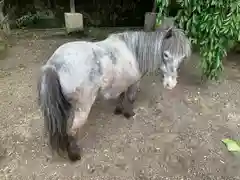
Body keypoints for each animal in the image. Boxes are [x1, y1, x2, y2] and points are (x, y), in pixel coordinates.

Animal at [37, 25, 191, 162]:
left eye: (182, 57)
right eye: (165, 54)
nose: (170, 84)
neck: (133, 51)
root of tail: (54, 64)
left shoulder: (122, 82)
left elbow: (121, 96)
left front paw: (119, 110)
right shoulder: (134, 83)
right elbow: (131, 98)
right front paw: (129, 113)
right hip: (82, 106)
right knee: (73, 130)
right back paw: (74, 155)